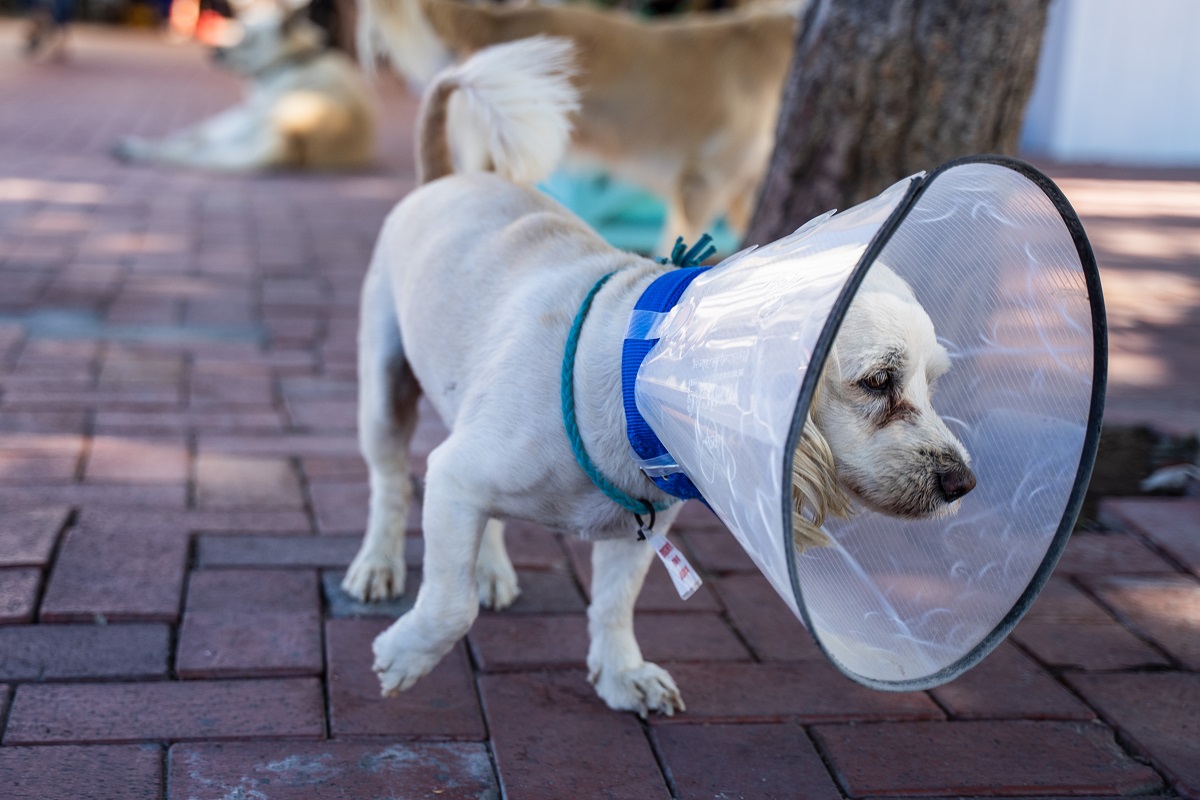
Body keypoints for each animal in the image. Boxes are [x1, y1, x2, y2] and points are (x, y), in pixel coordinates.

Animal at [113, 1, 374, 172]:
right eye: (238, 28)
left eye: (248, 38)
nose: (214, 52)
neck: (295, 58)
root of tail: (293, 139)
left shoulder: (242, 115)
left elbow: (193, 138)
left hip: (238, 125)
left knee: (187, 147)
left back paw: (134, 148)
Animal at [345, 37, 974, 714]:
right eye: (878, 381)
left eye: (933, 383)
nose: (962, 483)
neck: (632, 382)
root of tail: (444, 177)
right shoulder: (457, 480)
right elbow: (449, 603)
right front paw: (406, 655)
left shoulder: (637, 525)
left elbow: (613, 605)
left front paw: (623, 674)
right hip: (383, 391)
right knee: (390, 482)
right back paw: (377, 564)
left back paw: (489, 567)